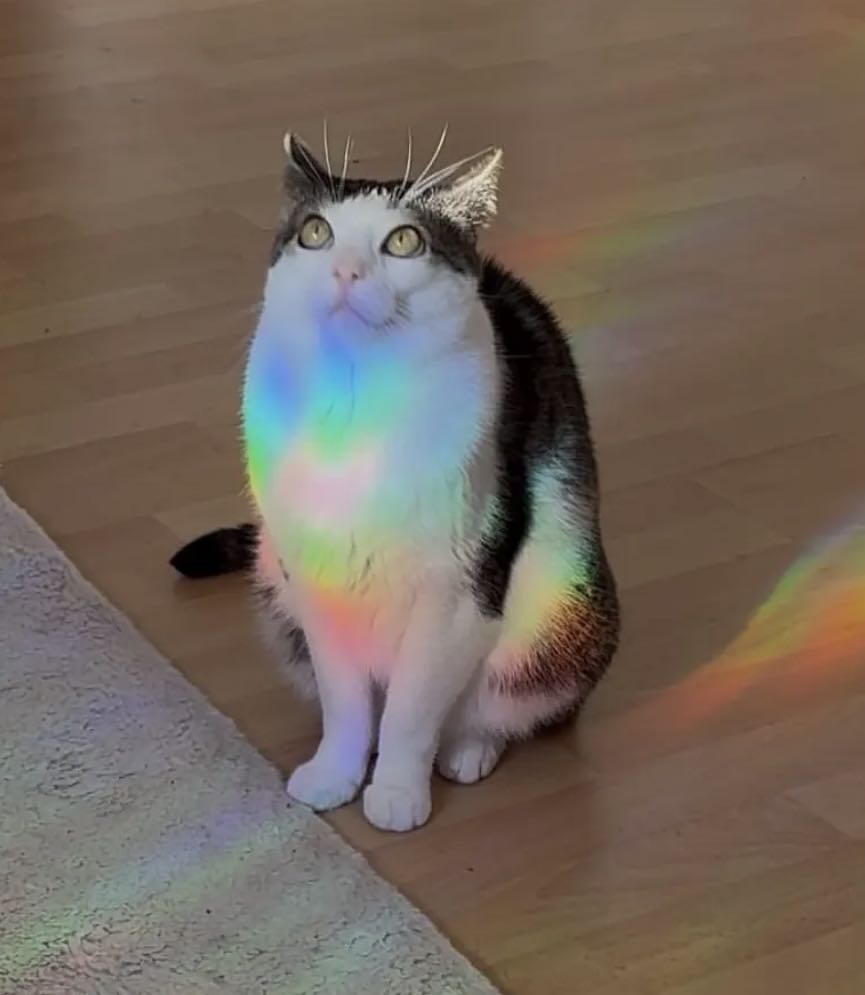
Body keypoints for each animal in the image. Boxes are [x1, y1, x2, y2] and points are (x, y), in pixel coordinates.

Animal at [170, 131, 620, 832]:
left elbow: (412, 710)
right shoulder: (317, 584)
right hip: (273, 578)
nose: (347, 271)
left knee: (503, 706)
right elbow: (345, 701)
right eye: (316, 232)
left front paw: (398, 794)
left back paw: (467, 750)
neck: (358, 405)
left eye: (404, 241)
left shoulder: (460, 591)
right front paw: (335, 775)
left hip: (566, 608)